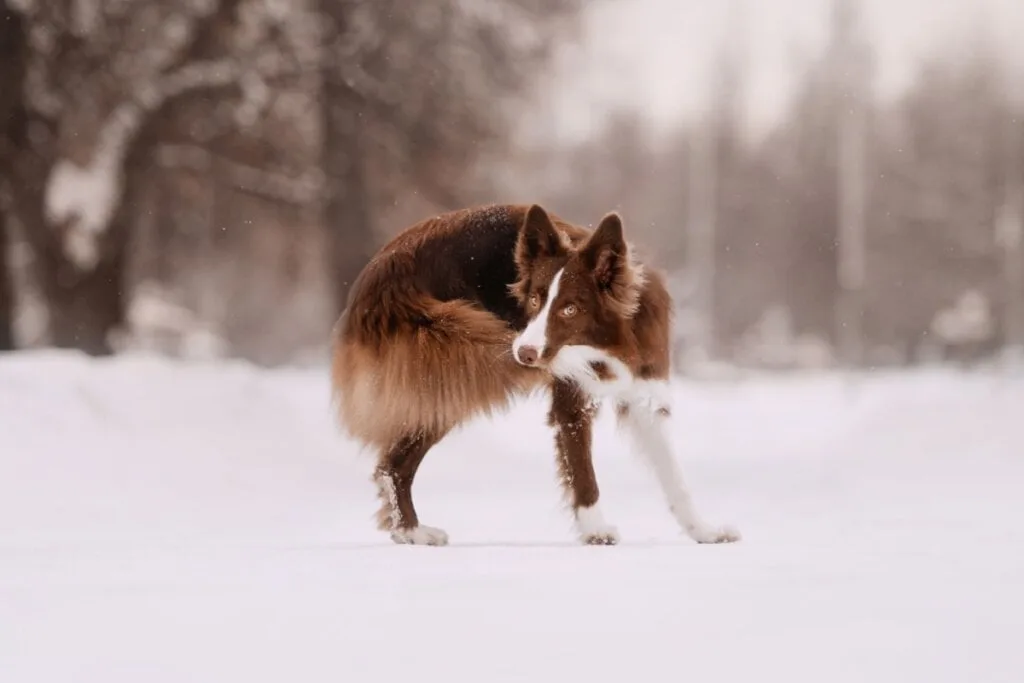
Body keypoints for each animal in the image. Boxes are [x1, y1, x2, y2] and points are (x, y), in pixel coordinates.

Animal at [331, 204, 741, 548]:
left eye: (570, 309)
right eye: (533, 301)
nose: (524, 353)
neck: (607, 344)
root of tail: (377, 274)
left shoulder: (645, 392)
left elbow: (674, 475)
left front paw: (703, 531)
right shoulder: (572, 401)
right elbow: (582, 470)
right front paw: (596, 531)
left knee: (392, 464)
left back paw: (407, 531)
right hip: (457, 364)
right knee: (395, 465)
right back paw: (413, 531)